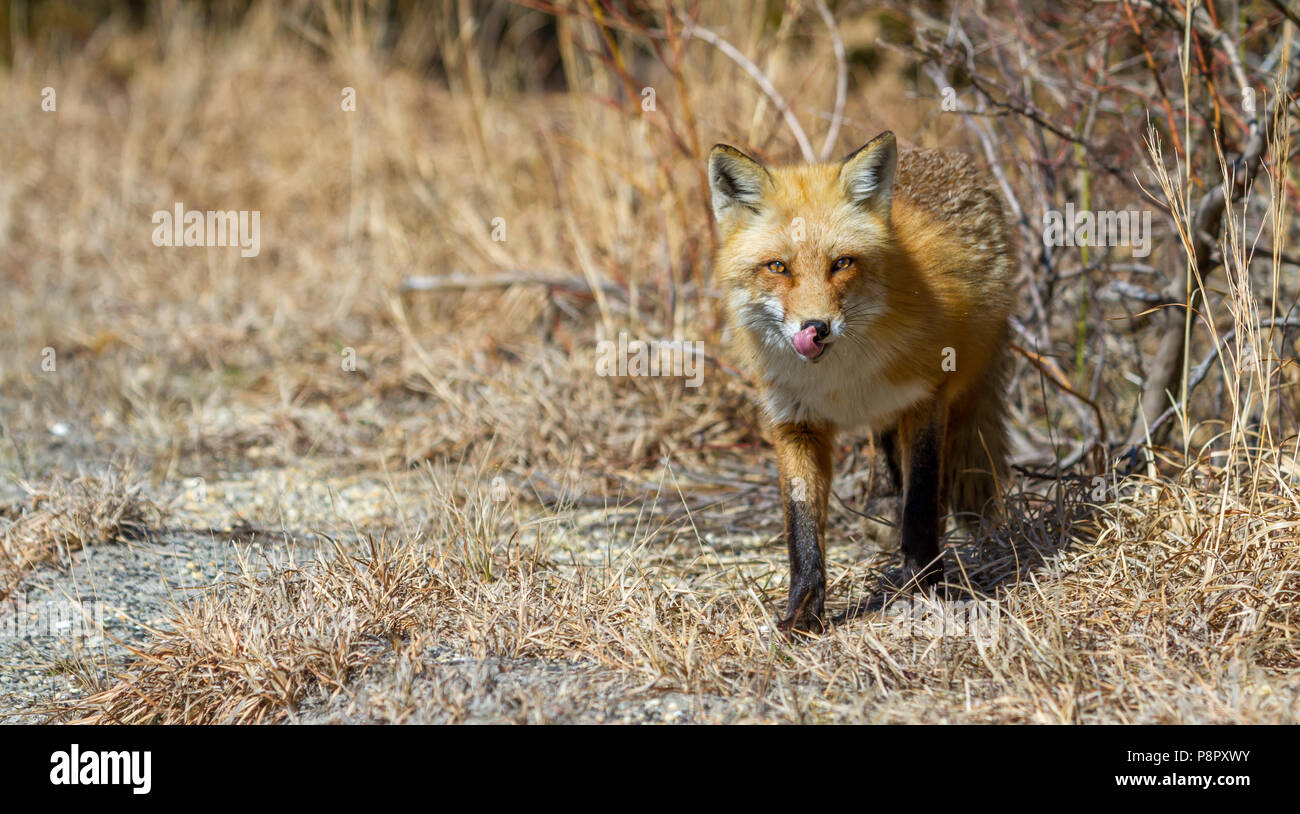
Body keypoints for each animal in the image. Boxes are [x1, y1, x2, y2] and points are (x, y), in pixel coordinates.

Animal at [708, 131, 1016, 633]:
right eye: (777, 268)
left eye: (842, 263)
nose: (815, 328)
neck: (839, 379)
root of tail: (938, 153)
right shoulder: (795, 422)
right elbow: (802, 530)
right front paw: (802, 614)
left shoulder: (926, 399)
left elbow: (921, 502)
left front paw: (924, 586)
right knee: (887, 457)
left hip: (962, 389)